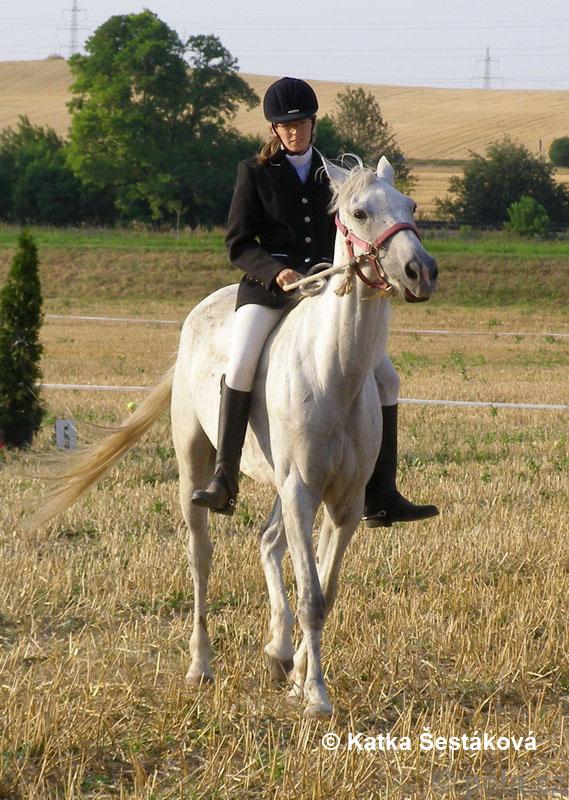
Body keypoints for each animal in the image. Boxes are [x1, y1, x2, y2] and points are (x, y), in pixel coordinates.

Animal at [30, 156, 438, 719]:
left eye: (411, 207)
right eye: (359, 212)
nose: (421, 272)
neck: (335, 371)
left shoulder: (344, 502)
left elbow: (325, 590)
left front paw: (301, 678)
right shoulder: (301, 493)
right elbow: (311, 594)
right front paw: (317, 697)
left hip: (282, 486)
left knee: (267, 542)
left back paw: (279, 654)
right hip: (196, 464)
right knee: (201, 556)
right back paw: (201, 665)